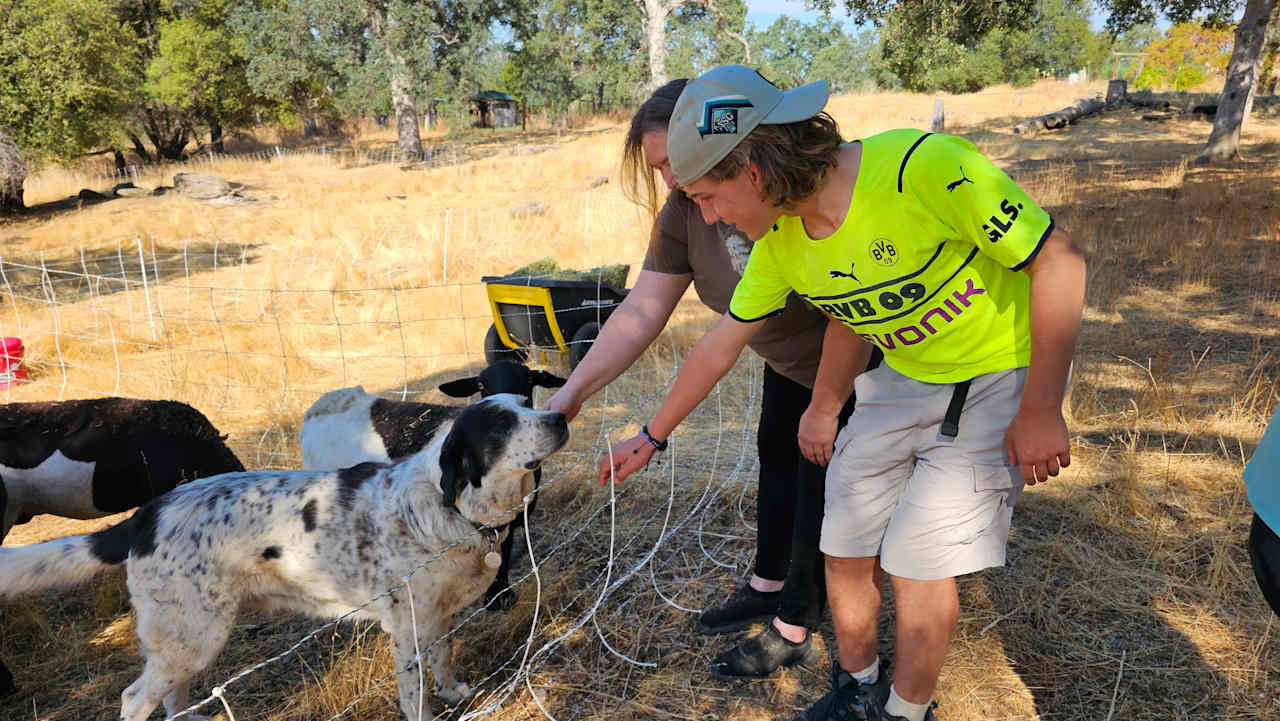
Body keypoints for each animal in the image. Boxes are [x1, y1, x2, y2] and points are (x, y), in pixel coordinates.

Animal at [0, 394, 570, 721]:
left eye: (526, 401)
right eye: (501, 424)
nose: (561, 414)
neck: (447, 505)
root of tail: (148, 515)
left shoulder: (439, 615)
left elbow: (444, 658)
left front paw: (452, 691)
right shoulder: (408, 625)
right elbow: (414, 692)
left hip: (189, 638)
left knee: (170, 695)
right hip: (194, 634)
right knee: (135, 699)